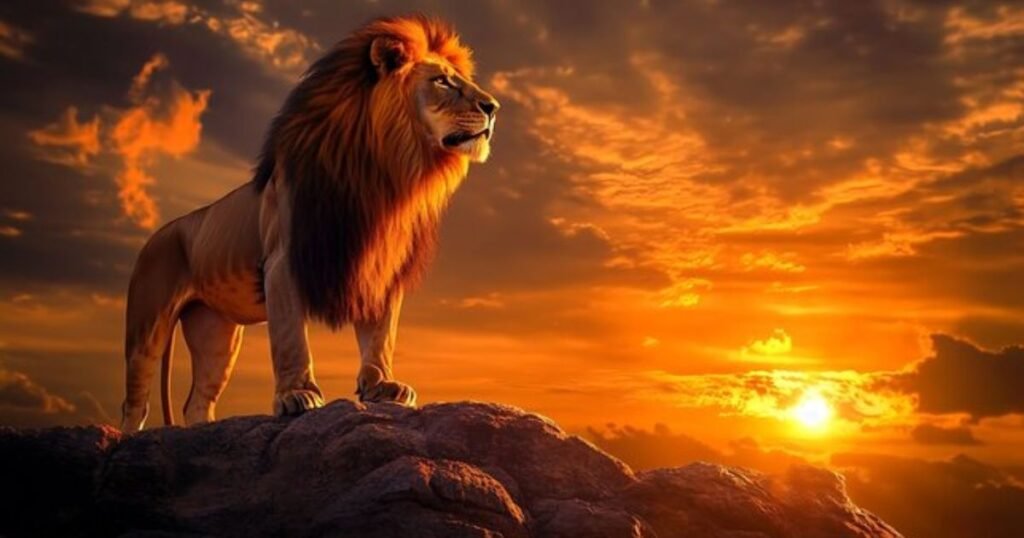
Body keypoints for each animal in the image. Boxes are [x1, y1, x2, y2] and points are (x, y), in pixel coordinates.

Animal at [119, 15, 499, 431]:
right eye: (442, 81)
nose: (493, 106)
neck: (382, 173)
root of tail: (161, 232)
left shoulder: (379, 266)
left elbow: (380, 336)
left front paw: (381, 386)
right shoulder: (283, 262)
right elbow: (291, 339)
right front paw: (296, 395)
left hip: (215, 331)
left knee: (197, 401)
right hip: (147, 323)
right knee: (135, 401)